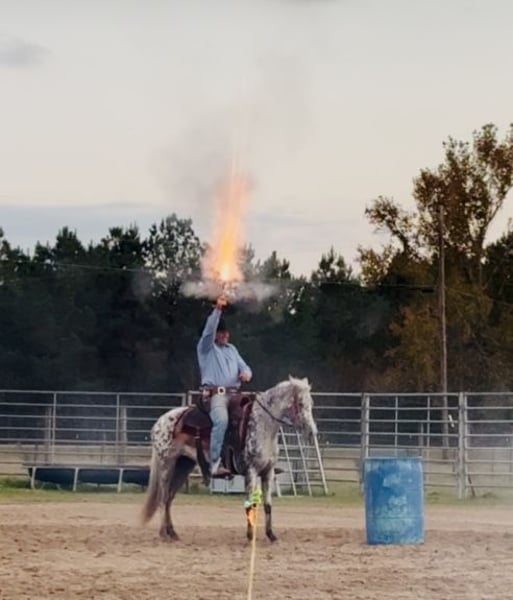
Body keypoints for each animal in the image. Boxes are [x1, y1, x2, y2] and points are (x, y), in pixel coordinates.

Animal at [141, 376, 318, 542]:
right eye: (300, 403)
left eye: (311, 403)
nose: (312, 432)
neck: (262, 425)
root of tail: (160, 422)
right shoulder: (251, 472)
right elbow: (251, 505)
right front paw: (250, 536)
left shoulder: (268, 472)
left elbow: (268, 505)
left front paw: (271, 535)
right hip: (166, 464)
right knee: (163, 497)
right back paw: (163, 533)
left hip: (184, 465)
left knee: (170, 498)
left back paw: (172, 533)